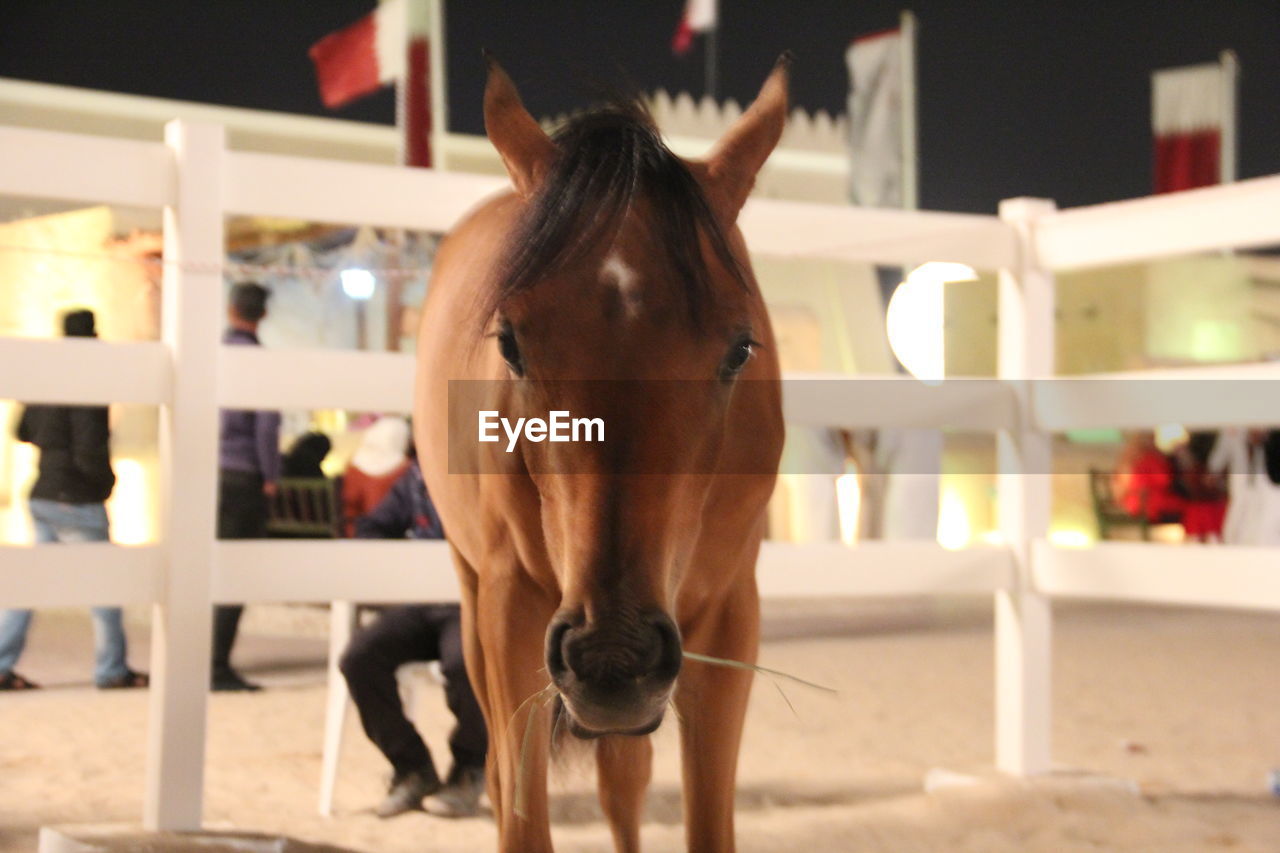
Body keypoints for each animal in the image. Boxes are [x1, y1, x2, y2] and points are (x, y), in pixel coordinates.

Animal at [414, 56, 783, 845]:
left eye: (740, 348)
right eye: (510, 343)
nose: (613, 658)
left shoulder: (730, 618)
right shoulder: (511, 613)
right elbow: (522, 816)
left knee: (624, 781)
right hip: (474, 601)